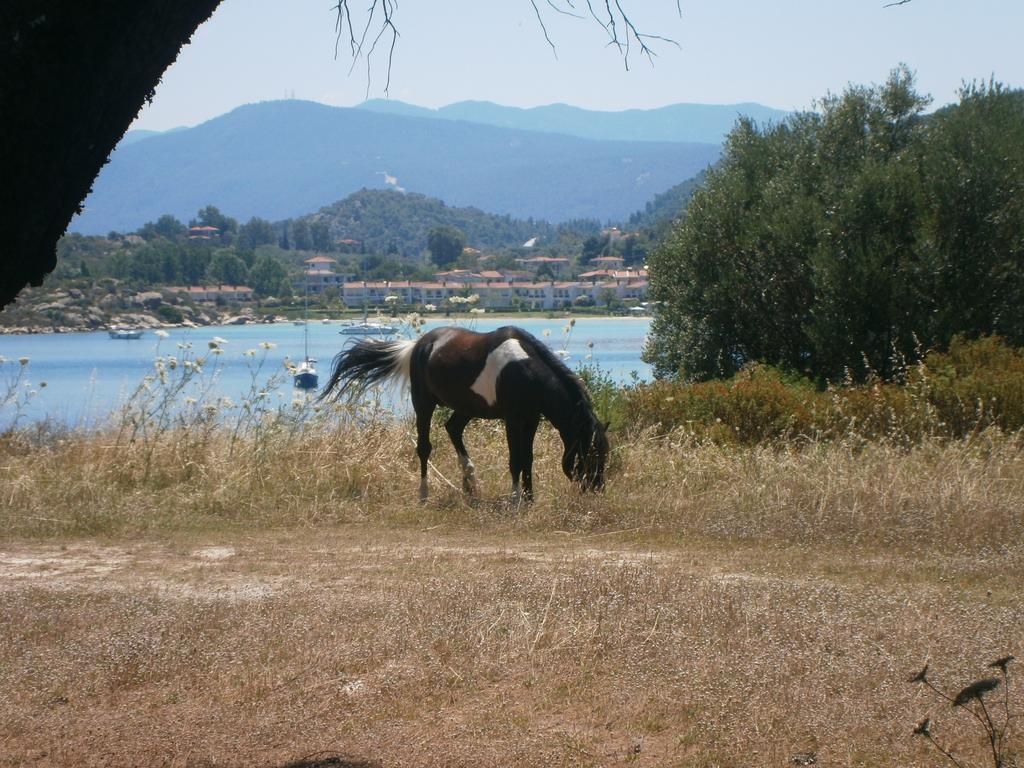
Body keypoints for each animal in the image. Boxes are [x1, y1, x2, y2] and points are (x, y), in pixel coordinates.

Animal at [319, 325, 606, 501]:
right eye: (590, 453)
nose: (597, 488)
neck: (526, 370)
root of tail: (419, 344)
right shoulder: (513, 420)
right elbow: (515, 460)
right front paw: (516, 500)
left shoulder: (531, 419)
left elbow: (528, 459)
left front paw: (529, 498)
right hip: (423, 403)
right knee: (424, 447)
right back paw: (424, 494)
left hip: (466, 407)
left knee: (453, 428)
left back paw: (470, 483)